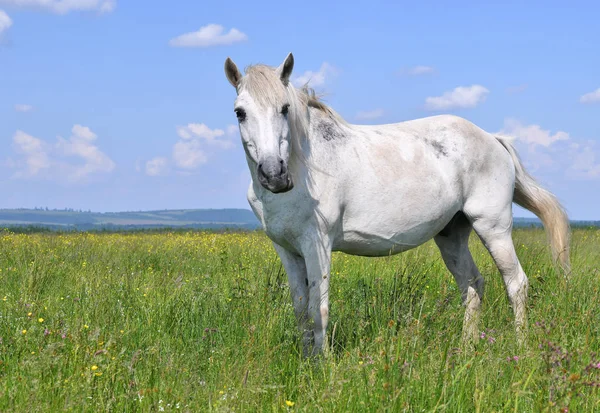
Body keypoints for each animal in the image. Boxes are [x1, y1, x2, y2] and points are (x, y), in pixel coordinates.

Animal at [223, 52, 568, 358]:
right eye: (240, 112)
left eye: (284, 109)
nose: (274, 175)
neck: (305, 165)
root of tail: (493, 139)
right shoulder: (287, 249)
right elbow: (300, 308)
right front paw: (307, 360)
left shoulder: (316, 245)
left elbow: (318, 308)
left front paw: (323, 365)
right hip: (451, 234)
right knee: (472, 285)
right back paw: (467, 348)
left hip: (493, 228)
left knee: (516, 284)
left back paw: (521, 346)